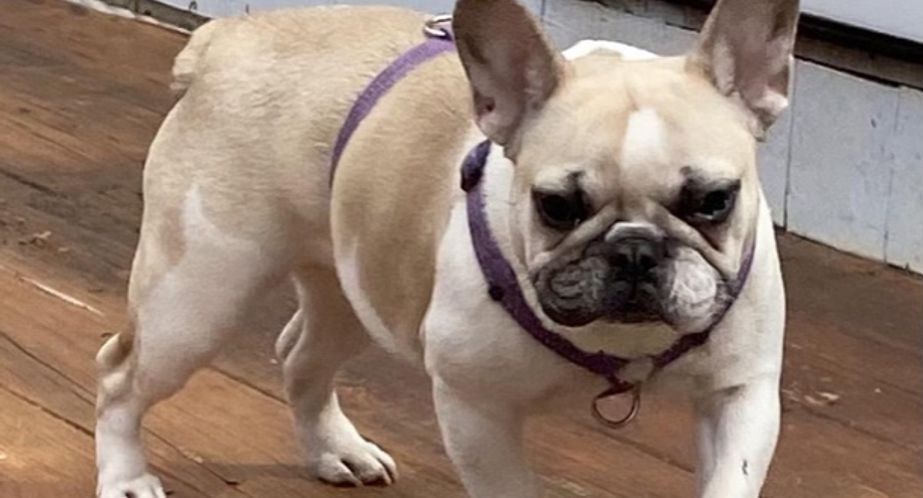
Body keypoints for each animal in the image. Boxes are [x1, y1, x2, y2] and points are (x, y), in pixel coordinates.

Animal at [94, 0, 797, 496]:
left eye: (715, 200)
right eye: (556, 206)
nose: (635, 250)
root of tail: (229, 40)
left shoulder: (741, 396)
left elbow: (730, 477)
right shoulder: (475, 406)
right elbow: (511, 489)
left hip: (357, 283)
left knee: (301, 356)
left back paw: (335, 450)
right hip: (197, 297)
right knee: (121, 377)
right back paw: (126, 478)